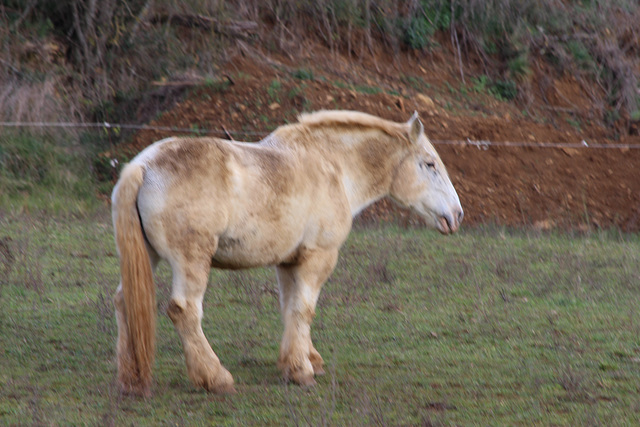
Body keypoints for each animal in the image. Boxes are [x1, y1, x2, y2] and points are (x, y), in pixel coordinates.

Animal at [112, 108, 462, 396]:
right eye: (429, 164)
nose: (456, 215)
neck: (333, 167)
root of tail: (143, 166)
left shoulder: (287, 262)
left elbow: (290, 308)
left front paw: (305, 360)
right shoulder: (319, 257)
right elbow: (304, 309)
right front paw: (301, 371)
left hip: (148, 258)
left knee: (124, 301)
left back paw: (131, 379)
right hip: (192, 262)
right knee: (185, 311)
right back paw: (216, 378)